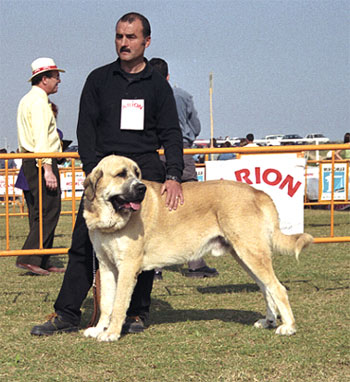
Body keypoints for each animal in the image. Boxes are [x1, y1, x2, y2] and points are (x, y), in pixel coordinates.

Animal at [83, 154, 314, 342]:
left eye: (137, 173)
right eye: (121, 174)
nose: (142, 188)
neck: (110, 218)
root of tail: (257, 192)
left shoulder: (128, 267)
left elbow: (119, 304)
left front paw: (112, 333)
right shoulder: (106, 266)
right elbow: (106, 303)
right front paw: (99, 328)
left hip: (251, 253)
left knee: (278, 288)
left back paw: (288, 326)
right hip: (246, 256)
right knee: (266, 288)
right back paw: (269, 320)